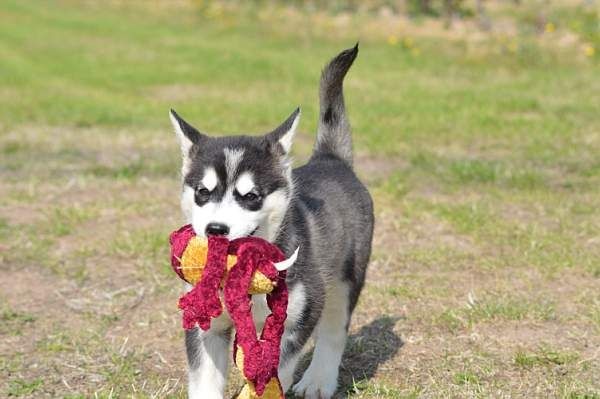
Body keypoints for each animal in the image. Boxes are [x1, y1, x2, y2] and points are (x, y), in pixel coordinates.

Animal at [169, 45, 372, 398]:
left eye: (251, 196)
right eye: (203, 192)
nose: (215, 230)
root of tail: (330, 159)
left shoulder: (299, 315)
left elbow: (276, 372)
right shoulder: (205, 327)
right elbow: (204, 380)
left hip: (346, 279)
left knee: (335, 329)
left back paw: (318, 380)